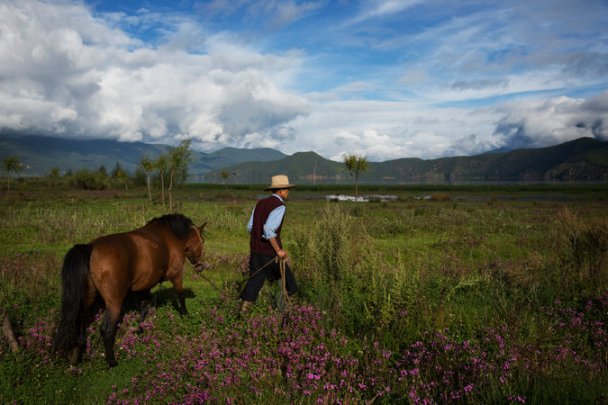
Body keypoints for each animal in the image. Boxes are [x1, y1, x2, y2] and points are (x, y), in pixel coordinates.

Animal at [51, 213, 207, 368]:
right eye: (202, 241)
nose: (200, 265)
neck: (171, 236)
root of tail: (91, 247)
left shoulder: (145, 286)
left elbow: (144, 307)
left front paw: (140, 331)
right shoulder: (177, 275)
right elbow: (180, 296)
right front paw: (185, 315)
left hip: (88, 297)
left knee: (81, 321)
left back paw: (78, 354)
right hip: (114, 303)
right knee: (106, 329)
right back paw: (112, 361)